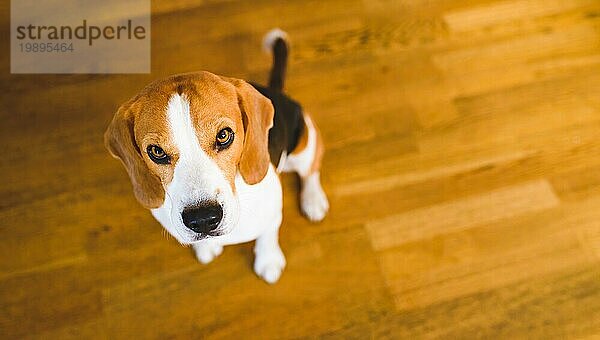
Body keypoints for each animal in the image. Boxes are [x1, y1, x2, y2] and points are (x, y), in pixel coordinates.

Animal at [103, 29, 328, 284]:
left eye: (223, 135)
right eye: (156, 151)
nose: (202, 220)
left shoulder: (272, 213)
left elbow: (267, 236)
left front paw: (268, 261)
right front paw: (206, 248)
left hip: (304, 147)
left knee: (311, 169)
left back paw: (313, 200)